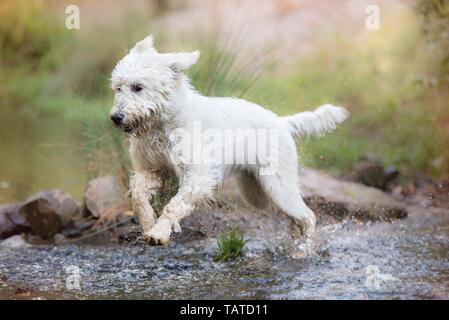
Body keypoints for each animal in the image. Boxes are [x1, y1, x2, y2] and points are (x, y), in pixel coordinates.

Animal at [110, 35, 348, 245]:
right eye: (118, 88)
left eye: (138, 87)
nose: (115, 117)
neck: (164, 124)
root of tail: (282, 122)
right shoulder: (151, 169)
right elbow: (138, 196)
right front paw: (148, 223)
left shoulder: (198, 177)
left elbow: (175, 204)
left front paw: (159, 232)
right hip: (257, 192)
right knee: (291, 215)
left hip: (278, 185)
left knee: (307, 215)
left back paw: (304, 248)